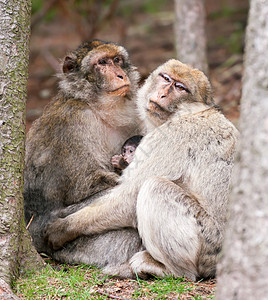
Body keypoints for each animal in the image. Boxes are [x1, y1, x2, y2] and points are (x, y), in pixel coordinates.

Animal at [24, 39, 143, 272]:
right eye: (102, 62)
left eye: (117, 60)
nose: (120, 75)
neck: (98, 107)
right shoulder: (73, 122)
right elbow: (85, 184)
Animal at [45, 59, 239, 282]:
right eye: (166, 78)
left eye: (180, 88)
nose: (162, 94)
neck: (187, 112)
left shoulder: (169, 137)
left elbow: (128, 198)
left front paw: (64, 228)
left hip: (208, 244)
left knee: (154, 186)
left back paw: (172, 270)